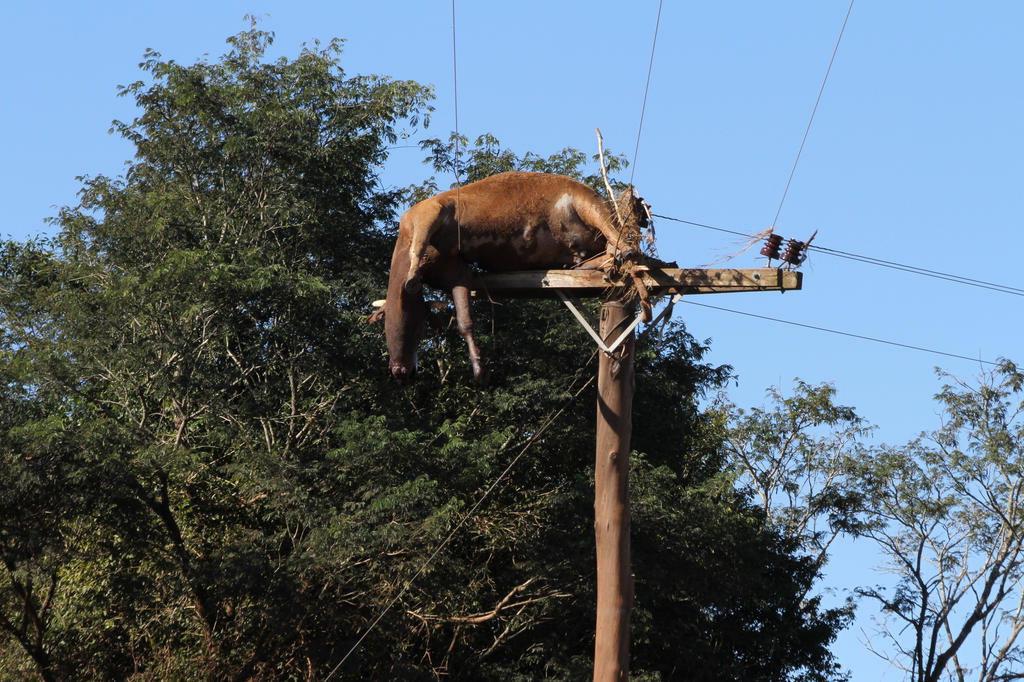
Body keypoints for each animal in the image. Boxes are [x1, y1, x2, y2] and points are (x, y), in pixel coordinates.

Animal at [376, 169, 647, 382]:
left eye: (419, 320)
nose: (400, 370)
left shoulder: (425, 212)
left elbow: (418, 248)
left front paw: (411, 277)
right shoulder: (457, 273)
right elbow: (464, 321)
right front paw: (480, 370)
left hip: (591, 205)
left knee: (621, 242)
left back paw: (620, 257)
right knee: (601, 252)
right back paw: (592, 264)